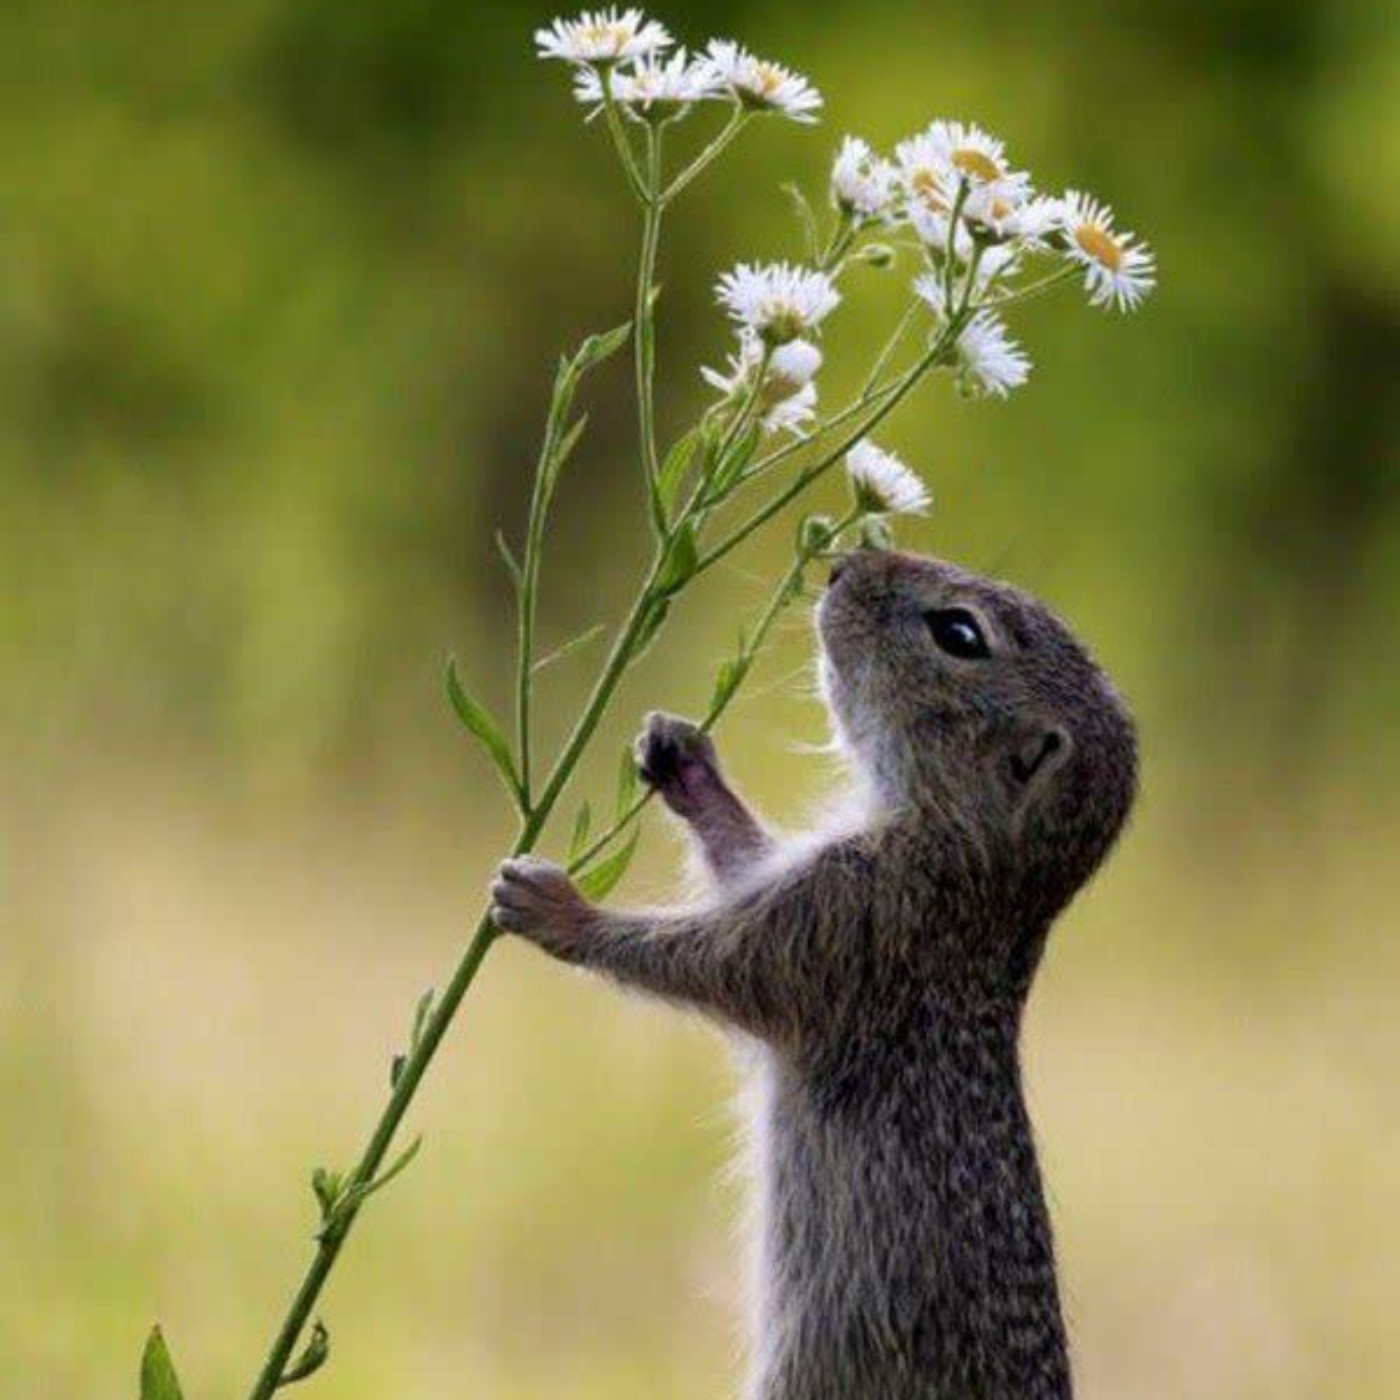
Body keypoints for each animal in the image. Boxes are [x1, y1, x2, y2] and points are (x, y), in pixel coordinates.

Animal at [492, 546, 1136, 1400]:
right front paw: (685, 763)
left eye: (960, 633)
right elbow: (740, 862)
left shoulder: (843, 923)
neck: (977, 864)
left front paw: (556, 908)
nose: (845, 561)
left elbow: (712, 961)